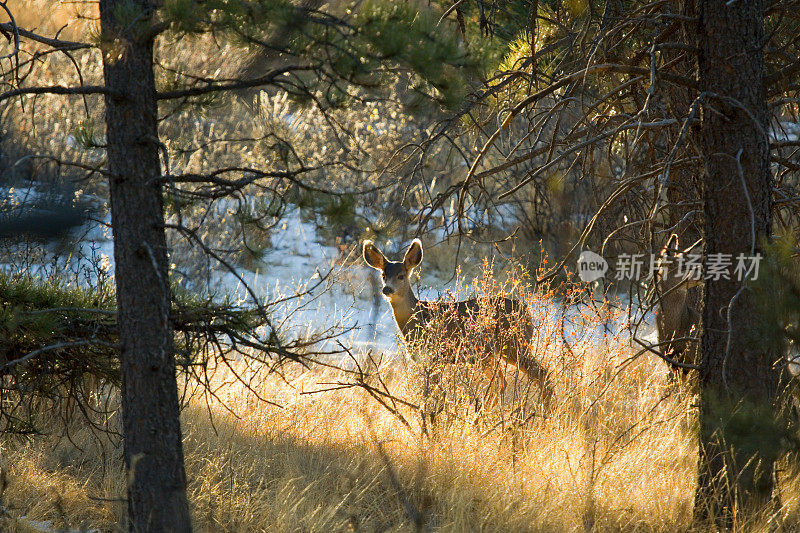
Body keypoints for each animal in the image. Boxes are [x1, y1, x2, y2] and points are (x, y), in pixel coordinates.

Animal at [360, 237, 552, 408]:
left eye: (401, 276)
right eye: (383, 275)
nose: (387, 289)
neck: (417, 318)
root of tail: (526, 311)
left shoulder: (435, 355)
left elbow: (432, 392)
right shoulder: (423, 359)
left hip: (515, 344)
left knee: (540, 373)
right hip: (492, 353)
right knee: (501, 382)